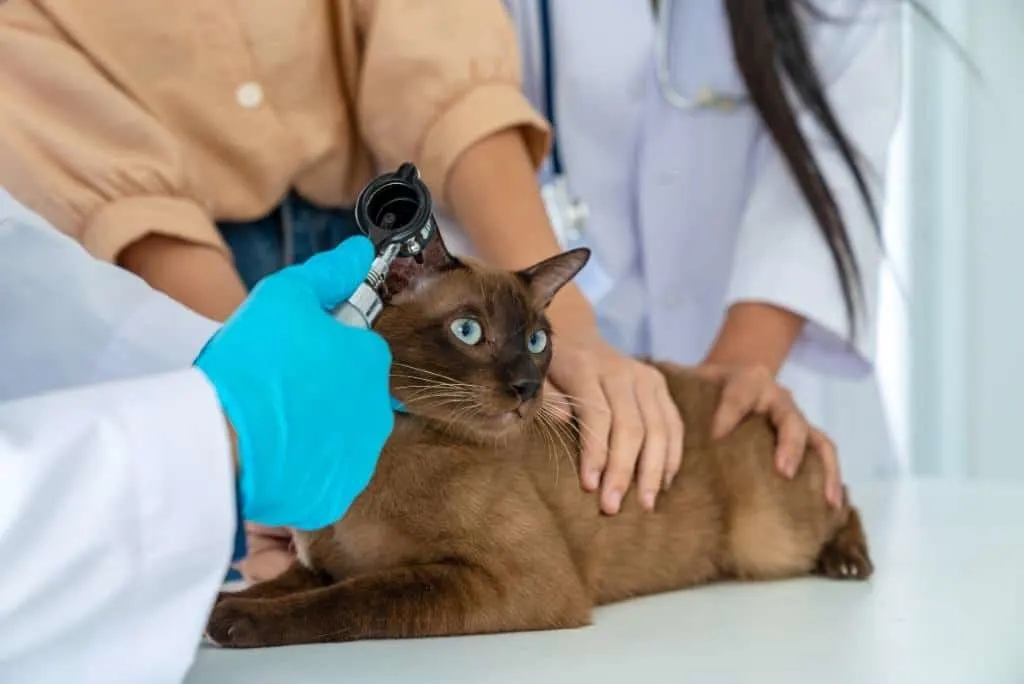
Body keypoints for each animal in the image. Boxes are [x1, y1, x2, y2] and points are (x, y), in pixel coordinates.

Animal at [205, 242, 872, 651]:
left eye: (536, 339)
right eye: (468, 330)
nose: (528, 387)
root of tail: (743, 392)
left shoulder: (518, 582)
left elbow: (358, 598)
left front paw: (233, 623)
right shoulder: (317, 565)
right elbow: (282, 586)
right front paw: (210, 616)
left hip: (767, 540)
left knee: (844, 499)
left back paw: (848, 562)